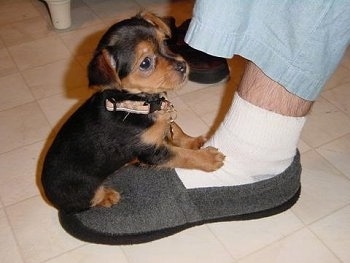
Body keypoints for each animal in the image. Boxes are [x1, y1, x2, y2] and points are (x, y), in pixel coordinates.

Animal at [40, 12, 224, 214]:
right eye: (145, 63)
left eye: (165, 42)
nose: (183, 65)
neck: (136, 104)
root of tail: (47, 195)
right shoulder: (152, 153)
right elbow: (182, 155)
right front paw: (208, 158)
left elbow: (175, 128)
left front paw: (194, 141)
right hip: (83, 189)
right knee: (91, 200)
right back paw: (108, 196)